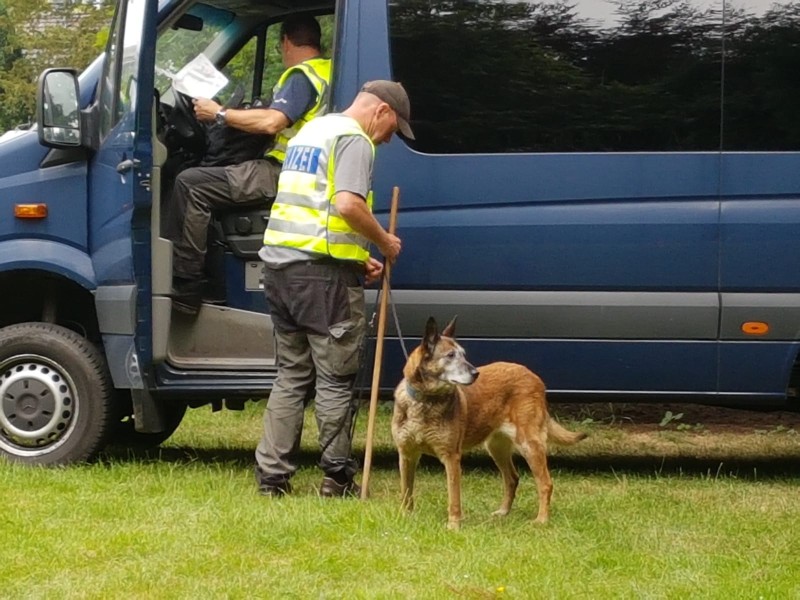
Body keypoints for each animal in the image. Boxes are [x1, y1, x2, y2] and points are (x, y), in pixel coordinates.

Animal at [390, 316, 584, 528]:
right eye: (450, 355)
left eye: (463, 354)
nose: (476, 373)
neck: (424, 401)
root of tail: (535, 377)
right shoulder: (407, 455)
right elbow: (406, 491)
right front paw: (404, 517)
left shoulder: (451, 457)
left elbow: (454, 497)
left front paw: (453, 525)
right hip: (496, 447)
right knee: (512, 478)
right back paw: (503, 512)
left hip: (529, 445)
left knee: (545, 483)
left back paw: (541, 519)